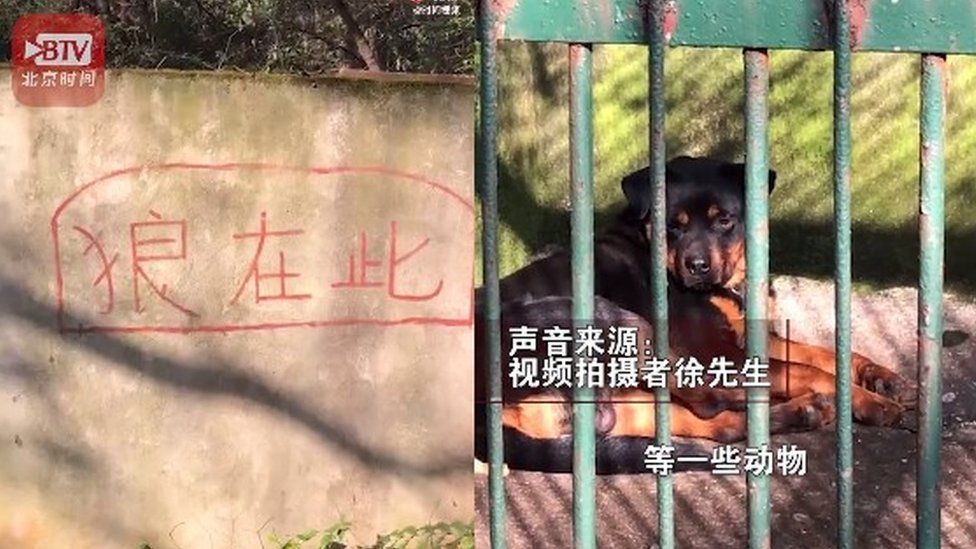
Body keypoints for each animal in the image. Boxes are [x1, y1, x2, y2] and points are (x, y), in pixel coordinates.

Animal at [472, 156, 916, 474]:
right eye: (674, 225)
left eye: (725, 221)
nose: (697, 266)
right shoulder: (716, 354)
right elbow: (810, 369)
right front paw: (871, 402)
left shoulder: (750, 340)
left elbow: (826, 354)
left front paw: (884, 380)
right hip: (624, 329)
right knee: (712, 403)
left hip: (627, 403)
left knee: (717, 425)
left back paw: (800, 412)